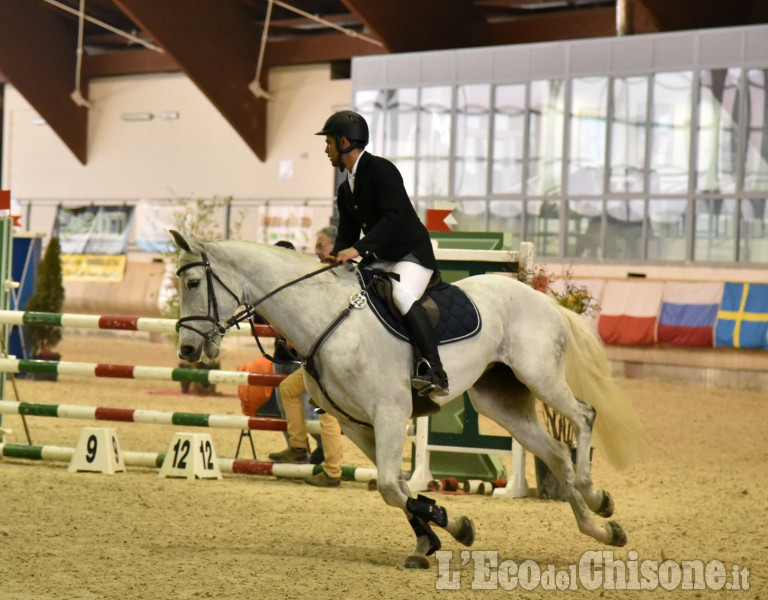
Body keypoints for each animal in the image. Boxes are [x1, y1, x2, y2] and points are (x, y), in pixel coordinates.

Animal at [170, 232, 648, 568]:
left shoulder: (389, 413)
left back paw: (596, 495)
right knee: (555, 454)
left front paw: (455, 526)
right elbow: (397, 488)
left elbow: (388, 485)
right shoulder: (356, 424)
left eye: (193, 281)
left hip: (541, 376)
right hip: (500, 402)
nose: (188, 351)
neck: (324, 319)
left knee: (583, 417)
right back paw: (601, 529)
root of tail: (543, 298)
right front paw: (434, 536)